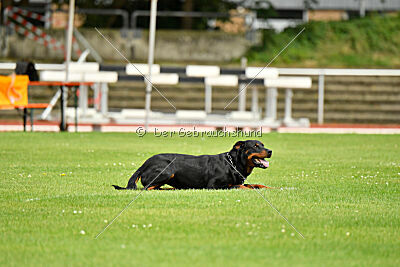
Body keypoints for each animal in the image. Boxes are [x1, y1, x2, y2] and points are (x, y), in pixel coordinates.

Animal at [112, 140, 272, 191]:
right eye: (255, 146)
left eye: (263, 144)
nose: (270, 151)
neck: (233, 164)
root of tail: (143, 165)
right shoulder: (213, 186)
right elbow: (239, 186)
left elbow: (257, 184)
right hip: (167, 171)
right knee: (147, 188)